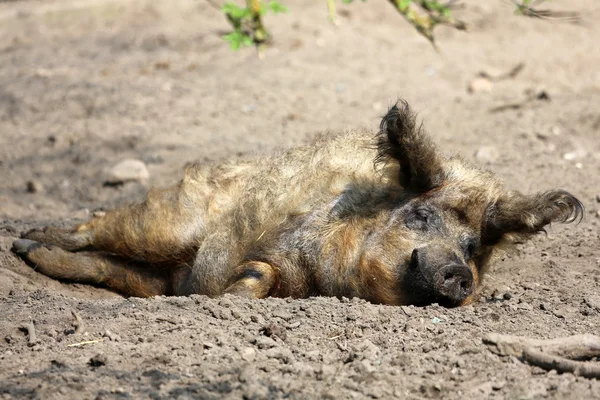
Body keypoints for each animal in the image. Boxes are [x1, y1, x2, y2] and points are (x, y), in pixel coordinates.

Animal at [10, 101, 580, 308]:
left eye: (472, 246)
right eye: (419, 216)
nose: (459, 273)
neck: (330, 280)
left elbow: (259, 279)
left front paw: (225, 300)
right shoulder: (273, 244)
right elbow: (255, 272)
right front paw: (227, 302)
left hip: (153, 275)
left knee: (108, 269)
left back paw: (34, 254)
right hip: (169, 224)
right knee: (101, 225)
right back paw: (24, 240)